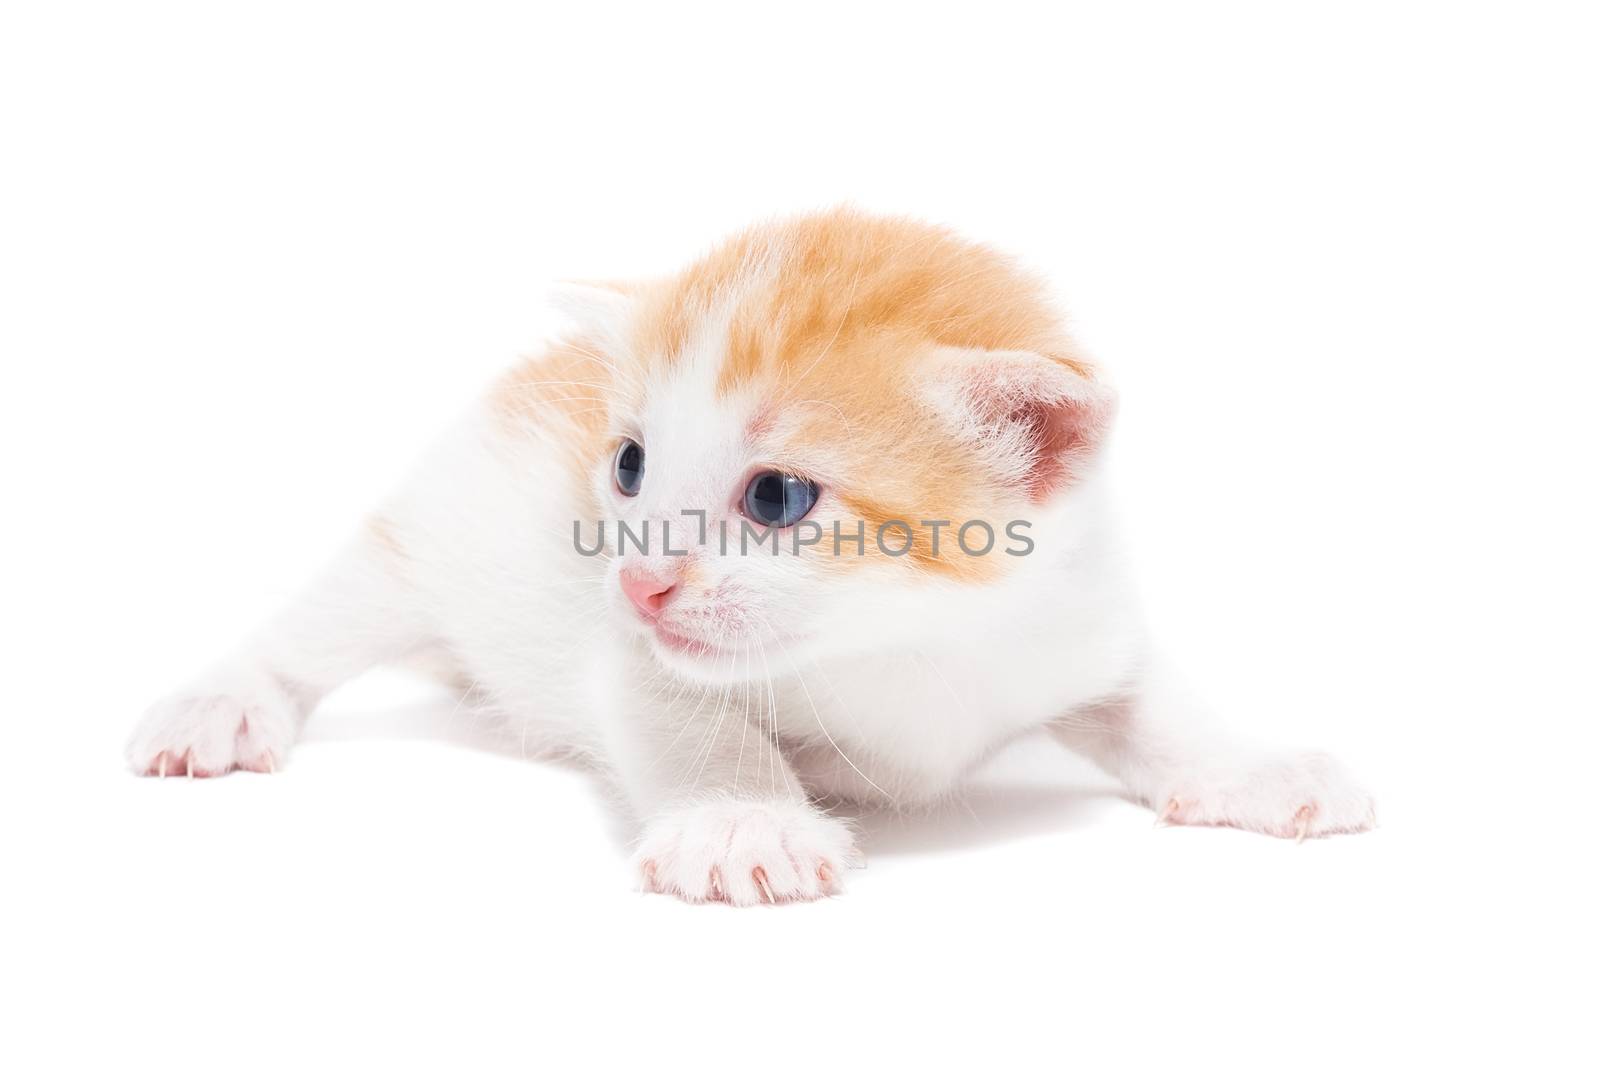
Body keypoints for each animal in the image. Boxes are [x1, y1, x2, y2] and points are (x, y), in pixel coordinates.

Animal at [124, 212, 1376, 908]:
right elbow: (688, 716)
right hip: (425, 535)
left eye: (777, 497)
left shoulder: (1075, 616)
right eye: (628, 465)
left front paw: (1256, 765)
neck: (908, 636)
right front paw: (742, 821)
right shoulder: (628, 649)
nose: (641, 578)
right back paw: (222, 701)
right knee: (316, 624)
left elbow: (1156, 704)